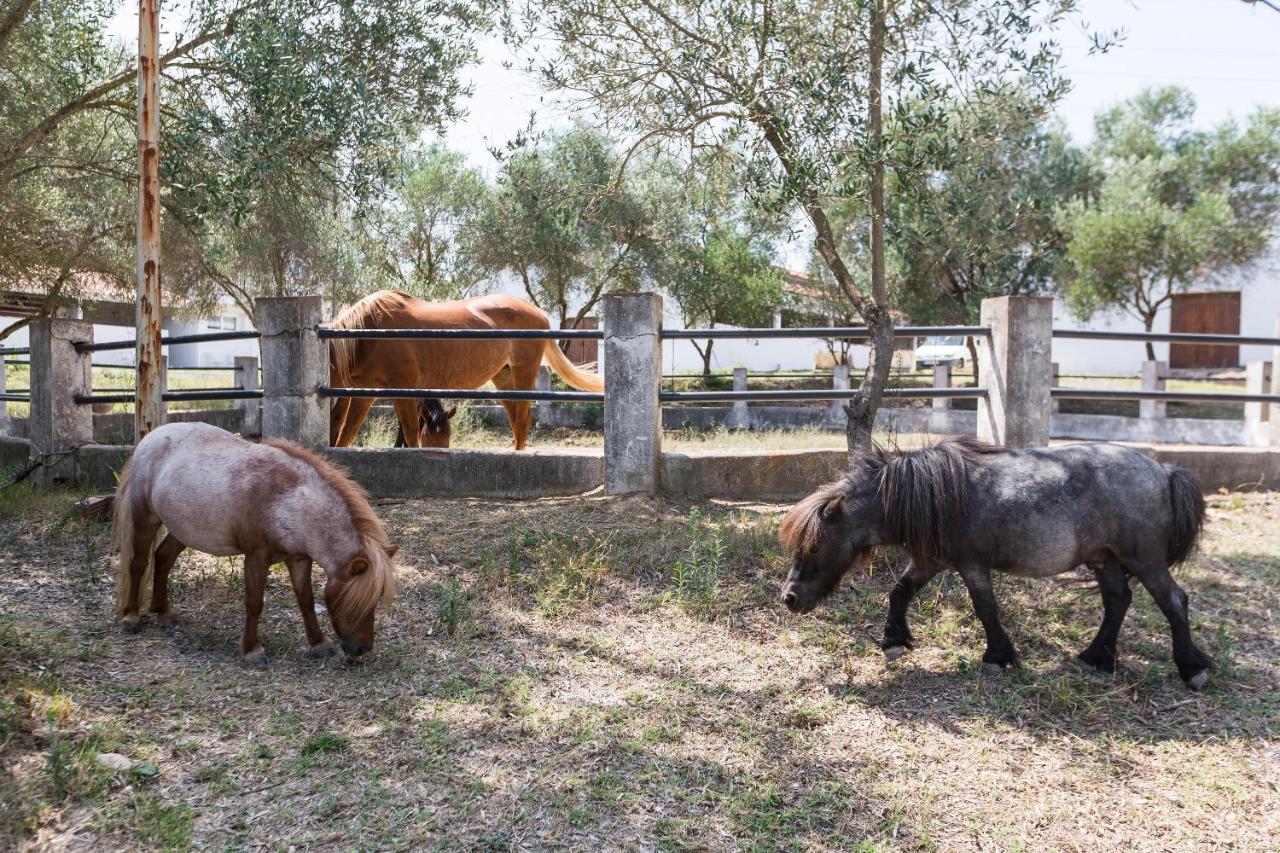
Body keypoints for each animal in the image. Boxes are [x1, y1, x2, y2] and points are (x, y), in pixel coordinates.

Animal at [113, 422, 396, 666]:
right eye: (357, 601)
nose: (362, 648)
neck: (287, 500)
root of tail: (150, 438)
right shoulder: (256, 558)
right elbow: (254, 603)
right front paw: (252, 651)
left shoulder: (299, 559)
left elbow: (305, 599)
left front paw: (318, 644)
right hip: (145, 519)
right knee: (138, 563)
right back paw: (131, 617)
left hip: (183, 529)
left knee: (163, 558)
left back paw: (163, 612)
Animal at [325, 289, 604, 448]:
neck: (367, 334)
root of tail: (541, 314)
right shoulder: (365, 392)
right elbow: (345, 434)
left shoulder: (403, 388)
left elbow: (410, 433)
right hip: (504, 378)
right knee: (516, 422)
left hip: (523, 373)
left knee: (522, 421)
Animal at [773, 435, 1213, 686]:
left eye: (814, 546)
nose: (790, 598)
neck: (934, 496)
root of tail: (1163, 469)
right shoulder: (929, 561)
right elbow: (900, 591)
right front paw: (894, 641)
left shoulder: (971, 565)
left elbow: (985, 607)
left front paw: (997, 657)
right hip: (1103, 559)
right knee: (1117, 601)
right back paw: (1097, 658)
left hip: (1143, 559)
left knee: (1173, 601)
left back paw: (1192, 669)